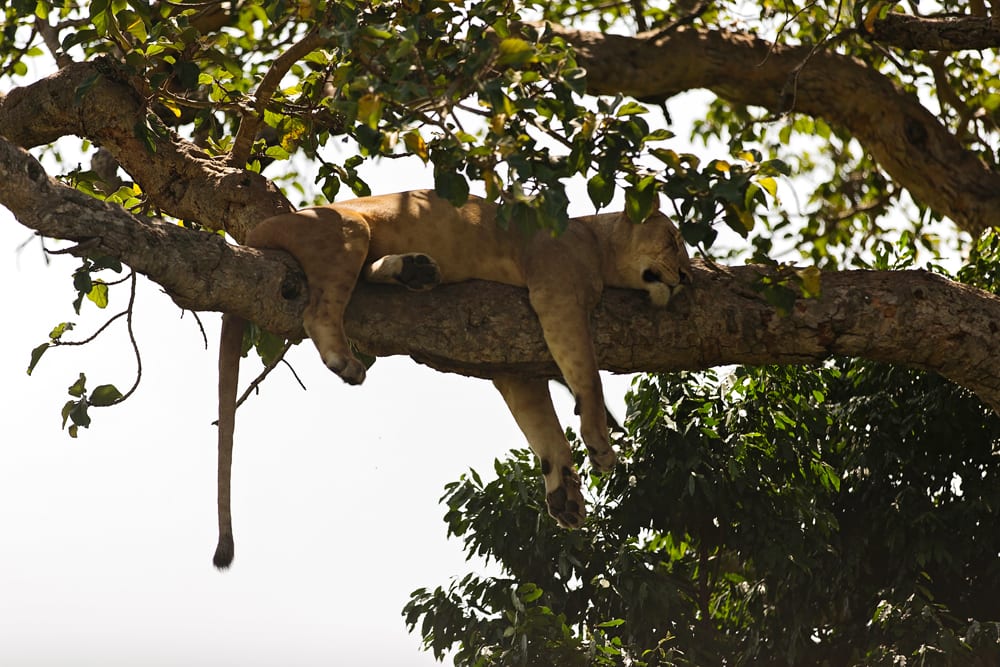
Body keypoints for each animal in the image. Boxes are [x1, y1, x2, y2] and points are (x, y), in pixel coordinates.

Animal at [213, 189, 690, 568]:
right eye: (672, 241)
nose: (687, 277)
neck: (594, 239)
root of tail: (259, 231)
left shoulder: (511, 364)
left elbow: (544, 429)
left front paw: (565, 496)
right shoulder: (557, 295)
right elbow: (587, 375)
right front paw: (600, 444)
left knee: (365, 277)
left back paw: (415, 270)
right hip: (348, 227)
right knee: (319, 310)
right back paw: (346, 358)